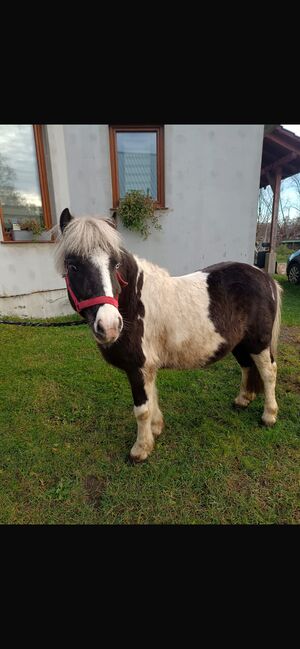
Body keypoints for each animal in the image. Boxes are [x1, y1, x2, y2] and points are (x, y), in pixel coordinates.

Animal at [55, 208, 282, 460]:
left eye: (115, 264)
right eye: (73, 266)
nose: (110, 325)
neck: (134, 303)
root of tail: (264, 276)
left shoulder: (138, 368)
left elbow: (142, 409)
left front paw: (141, 449)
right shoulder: (147, 367)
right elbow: (152, 397)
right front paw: (156, 429)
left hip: (259, 343)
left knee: (268, 372)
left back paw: (269, 416)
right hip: (240, 343)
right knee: (247, 366)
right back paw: (243, 400)